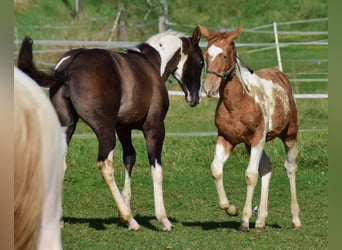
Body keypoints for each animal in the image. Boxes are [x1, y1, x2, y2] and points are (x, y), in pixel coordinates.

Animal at [18, 27, 203, 230]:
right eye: (201, 62)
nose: (195, 98)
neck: (152, 65)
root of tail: (69, 67)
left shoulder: (123, 128)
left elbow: (129, 157)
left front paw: (125, 206)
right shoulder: (154, 127)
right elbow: (156, 169)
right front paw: (162, 219)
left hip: (66, 126)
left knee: (61, 163)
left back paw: (59, 219)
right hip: (104, 129)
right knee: (105, 164)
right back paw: (130, 219)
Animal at [198, 24, 302, 230]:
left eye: (224, 56)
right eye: (206, 55)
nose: (209, 89)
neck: (239, 102)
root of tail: (280, 75)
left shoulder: (257, 138)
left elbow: (250, 175)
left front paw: (245, 221)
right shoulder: (226, 138)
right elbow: (216, 169)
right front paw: (231, 209)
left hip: (288, 136)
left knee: (290, 168)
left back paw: (295, 219)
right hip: (250, 144)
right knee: (267, 168)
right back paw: (261, 220)